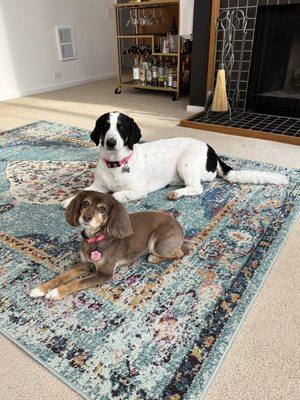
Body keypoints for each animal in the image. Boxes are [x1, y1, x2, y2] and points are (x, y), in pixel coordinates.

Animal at [61, 111, 288, 208]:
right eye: (105, 126)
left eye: (122, 127)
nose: (110, 142)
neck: (115, 163)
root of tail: (212, 151)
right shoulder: (98, 185)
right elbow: (83, 192)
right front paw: (70, 200)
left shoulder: (138, 190)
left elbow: (115, 195)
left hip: (185, 163)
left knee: (197, 188)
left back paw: (177, 193)